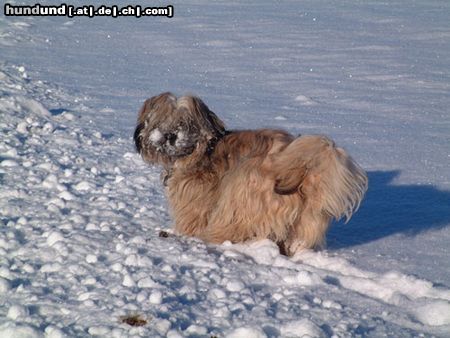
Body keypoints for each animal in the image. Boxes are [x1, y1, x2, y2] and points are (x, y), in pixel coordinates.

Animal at [133, 91, 366, 255]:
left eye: (186, 123)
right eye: (161, 121)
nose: (170, 136)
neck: (203, 150)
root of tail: (300, 172)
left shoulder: (195, 200)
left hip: (244, 188)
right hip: (307, 220)